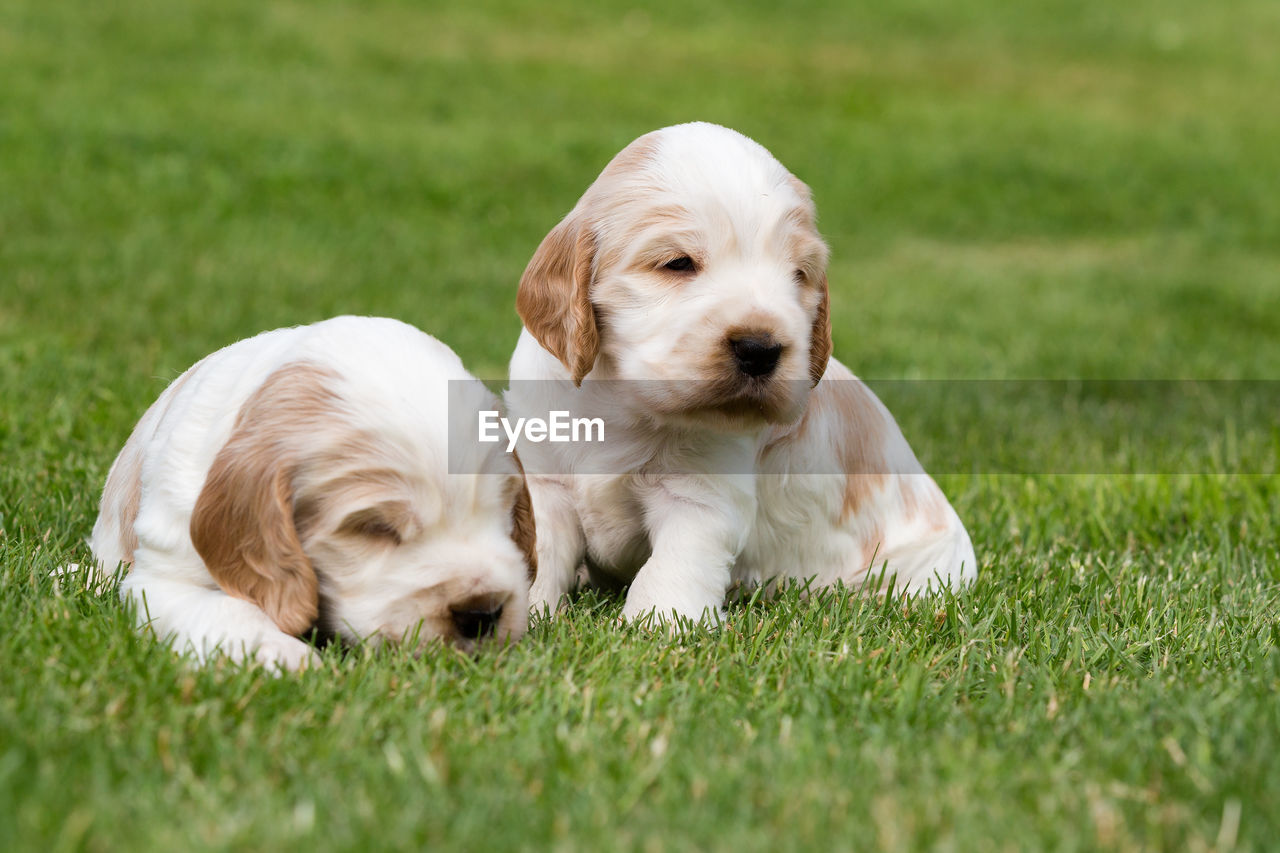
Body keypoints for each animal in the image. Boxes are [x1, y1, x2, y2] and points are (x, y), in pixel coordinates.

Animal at [88, 315, 529, 666]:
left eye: (502, 511)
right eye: (375, 528)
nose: (482, 613)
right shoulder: (160, 577)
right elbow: (225, 609)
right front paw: (281, 655)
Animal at [504, 121, 972, 625]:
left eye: (798, 275)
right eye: (678, 263)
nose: (760, 349)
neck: (621, 404)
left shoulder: (700, 497)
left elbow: (670, 571)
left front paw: (659, 627)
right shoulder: (545, 481)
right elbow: (541, 554)